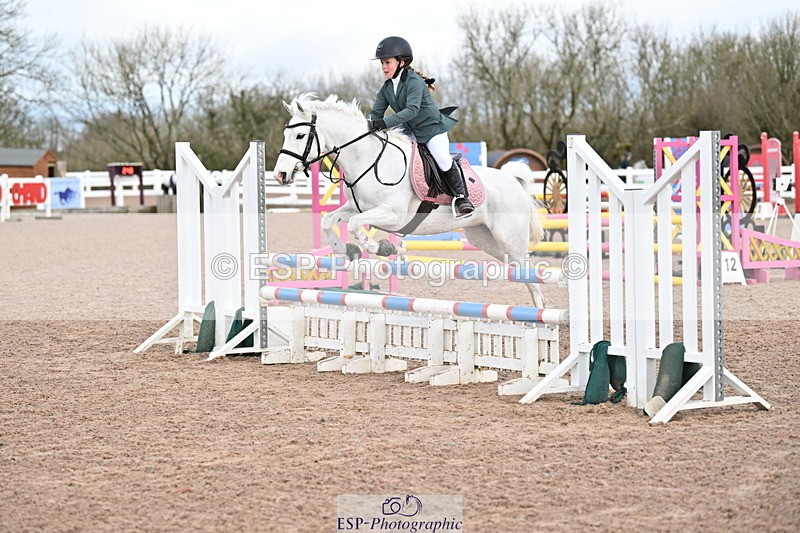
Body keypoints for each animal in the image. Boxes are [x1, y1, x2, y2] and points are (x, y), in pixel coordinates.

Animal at [272, 93, 546, 307]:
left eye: (299, 136)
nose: (280, 175)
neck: (368, 159)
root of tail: (512, 180)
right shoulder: (355, 208)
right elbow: (329, 221)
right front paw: (345, 250)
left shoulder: (393, 215)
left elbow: (355, 225)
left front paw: (381, 248)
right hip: (485, 238)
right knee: (521, 272)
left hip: (509, 238)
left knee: (531, 276)